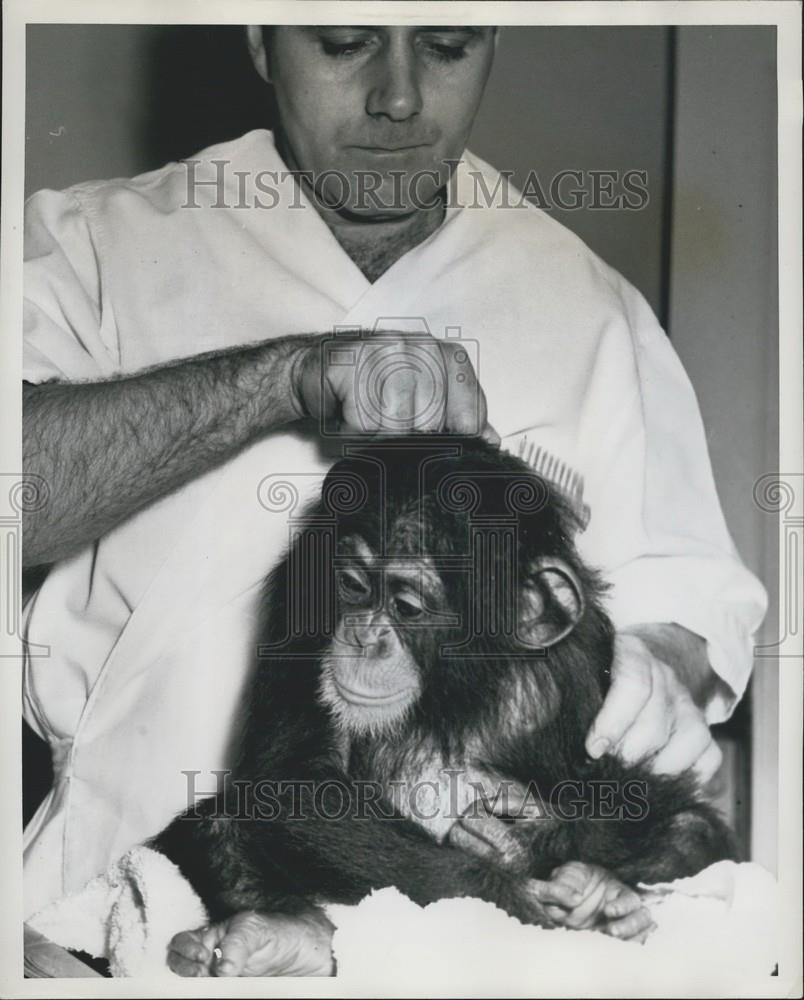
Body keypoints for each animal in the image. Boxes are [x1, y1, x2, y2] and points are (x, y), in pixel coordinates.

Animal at [154, 434, 740, 940]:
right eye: (352, 585)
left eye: (407, 606)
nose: (363, 637)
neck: (453, 688)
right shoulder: (299, 601)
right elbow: (295, 782)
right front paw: (506, 889)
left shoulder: (581, 667)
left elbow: (634, 797)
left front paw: (540, 836)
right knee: (219, 826)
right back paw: (281, 939)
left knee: (690, 830)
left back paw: (605, 892)